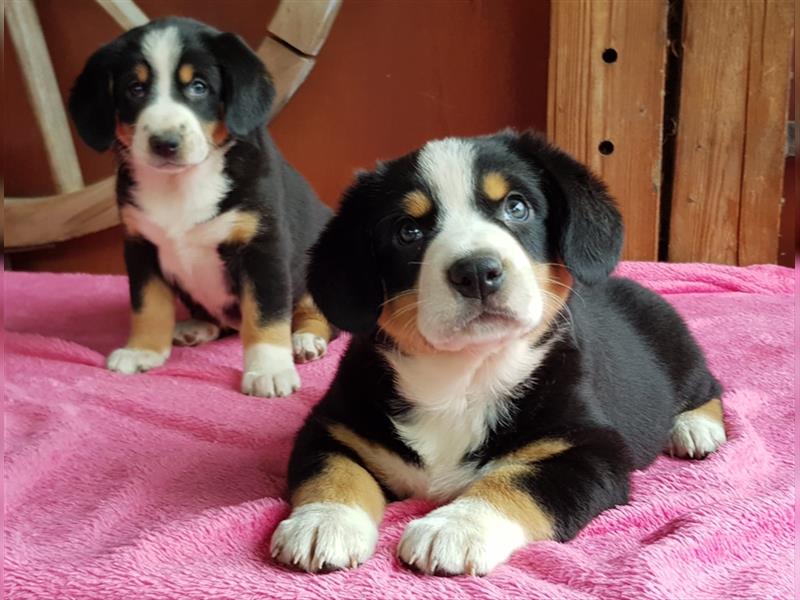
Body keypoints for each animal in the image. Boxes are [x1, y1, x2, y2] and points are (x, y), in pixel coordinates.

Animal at [67, 17, 332, 398]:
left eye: (198, 86)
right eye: (135, 88)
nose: (164, 142)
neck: (181, 185)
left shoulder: (262, 246)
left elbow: (266, 315)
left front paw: (269, 369)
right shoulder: (141, 245)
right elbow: (148, 304)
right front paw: (142, 351)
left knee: (317, 315)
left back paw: (305, 340)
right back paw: (196, 327)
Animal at [268, 132, 724, 576]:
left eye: (516, 207)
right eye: (407, 231)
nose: (476, 272)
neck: (463, 377)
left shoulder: (588, 448)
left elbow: (514, 482)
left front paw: (455, 528)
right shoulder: (334, 427)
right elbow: (334, 473)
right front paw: (323, 523)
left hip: (677, 347)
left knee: (710, 386)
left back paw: (696, 429)